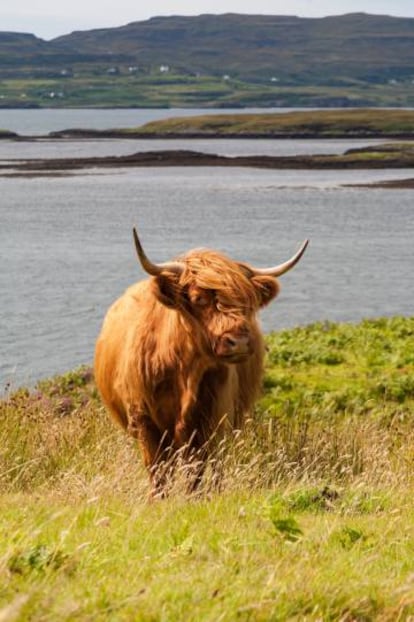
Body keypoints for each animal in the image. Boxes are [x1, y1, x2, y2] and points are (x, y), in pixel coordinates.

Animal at [94, 230, 308, 498]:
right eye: (198, 299)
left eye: (248, 302)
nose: (238, 342)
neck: (184, 372)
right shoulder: (144, 421)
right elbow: (158, 472)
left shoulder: (212, 420)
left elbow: (197, 469)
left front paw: (195, 498)